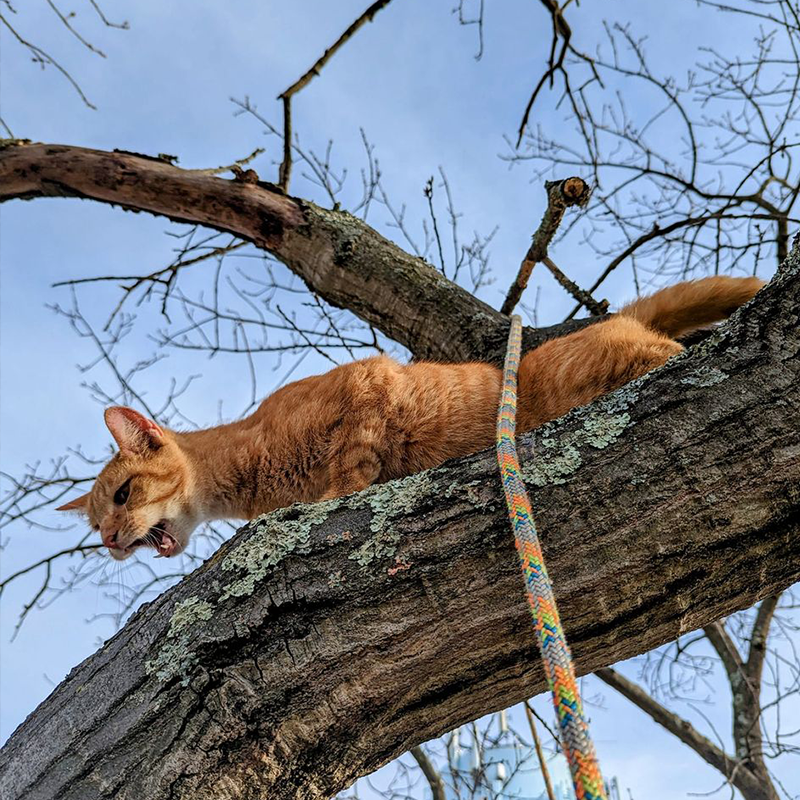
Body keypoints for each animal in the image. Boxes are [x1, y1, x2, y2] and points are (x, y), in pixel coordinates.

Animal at [57, 278, 764, 560]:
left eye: (123, 495)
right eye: (94, 526)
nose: (112, 541)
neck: (253, 479)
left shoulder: (366, 384)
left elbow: (353, 466)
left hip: (618, 362)